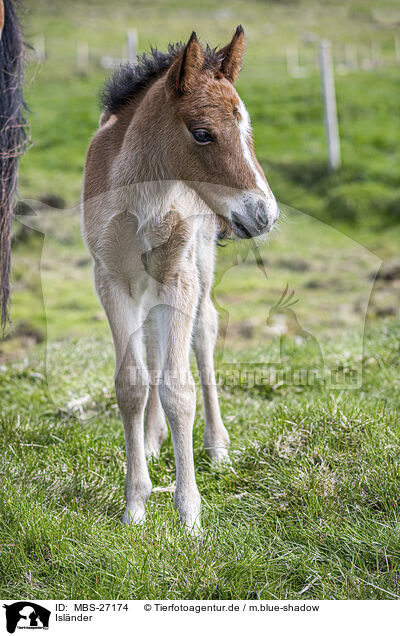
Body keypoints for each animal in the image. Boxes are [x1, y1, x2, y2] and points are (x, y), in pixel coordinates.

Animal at [82, 26, 278, 532]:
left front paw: (188, 512)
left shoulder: (178, 276)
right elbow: (132, 384)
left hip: (199, 265)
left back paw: (217, 446)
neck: (143, 197)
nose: (263, 215)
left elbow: (179, 389)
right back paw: (152, 440)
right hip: (145, 287)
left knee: (204, 333)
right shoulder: (110, 280)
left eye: (247, 128)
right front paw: (135, 505)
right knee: (152, 344)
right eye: (203, 134)